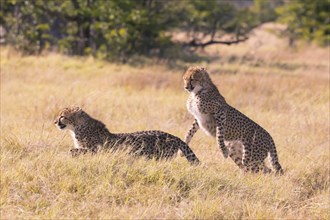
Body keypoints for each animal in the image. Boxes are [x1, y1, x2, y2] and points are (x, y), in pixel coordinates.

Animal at [54, 106, 199, 165]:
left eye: (62, 116)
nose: (55, 122)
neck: (77, 128)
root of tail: (173, 135)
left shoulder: (96, 150)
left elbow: (73, 150)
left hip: (161, 157)